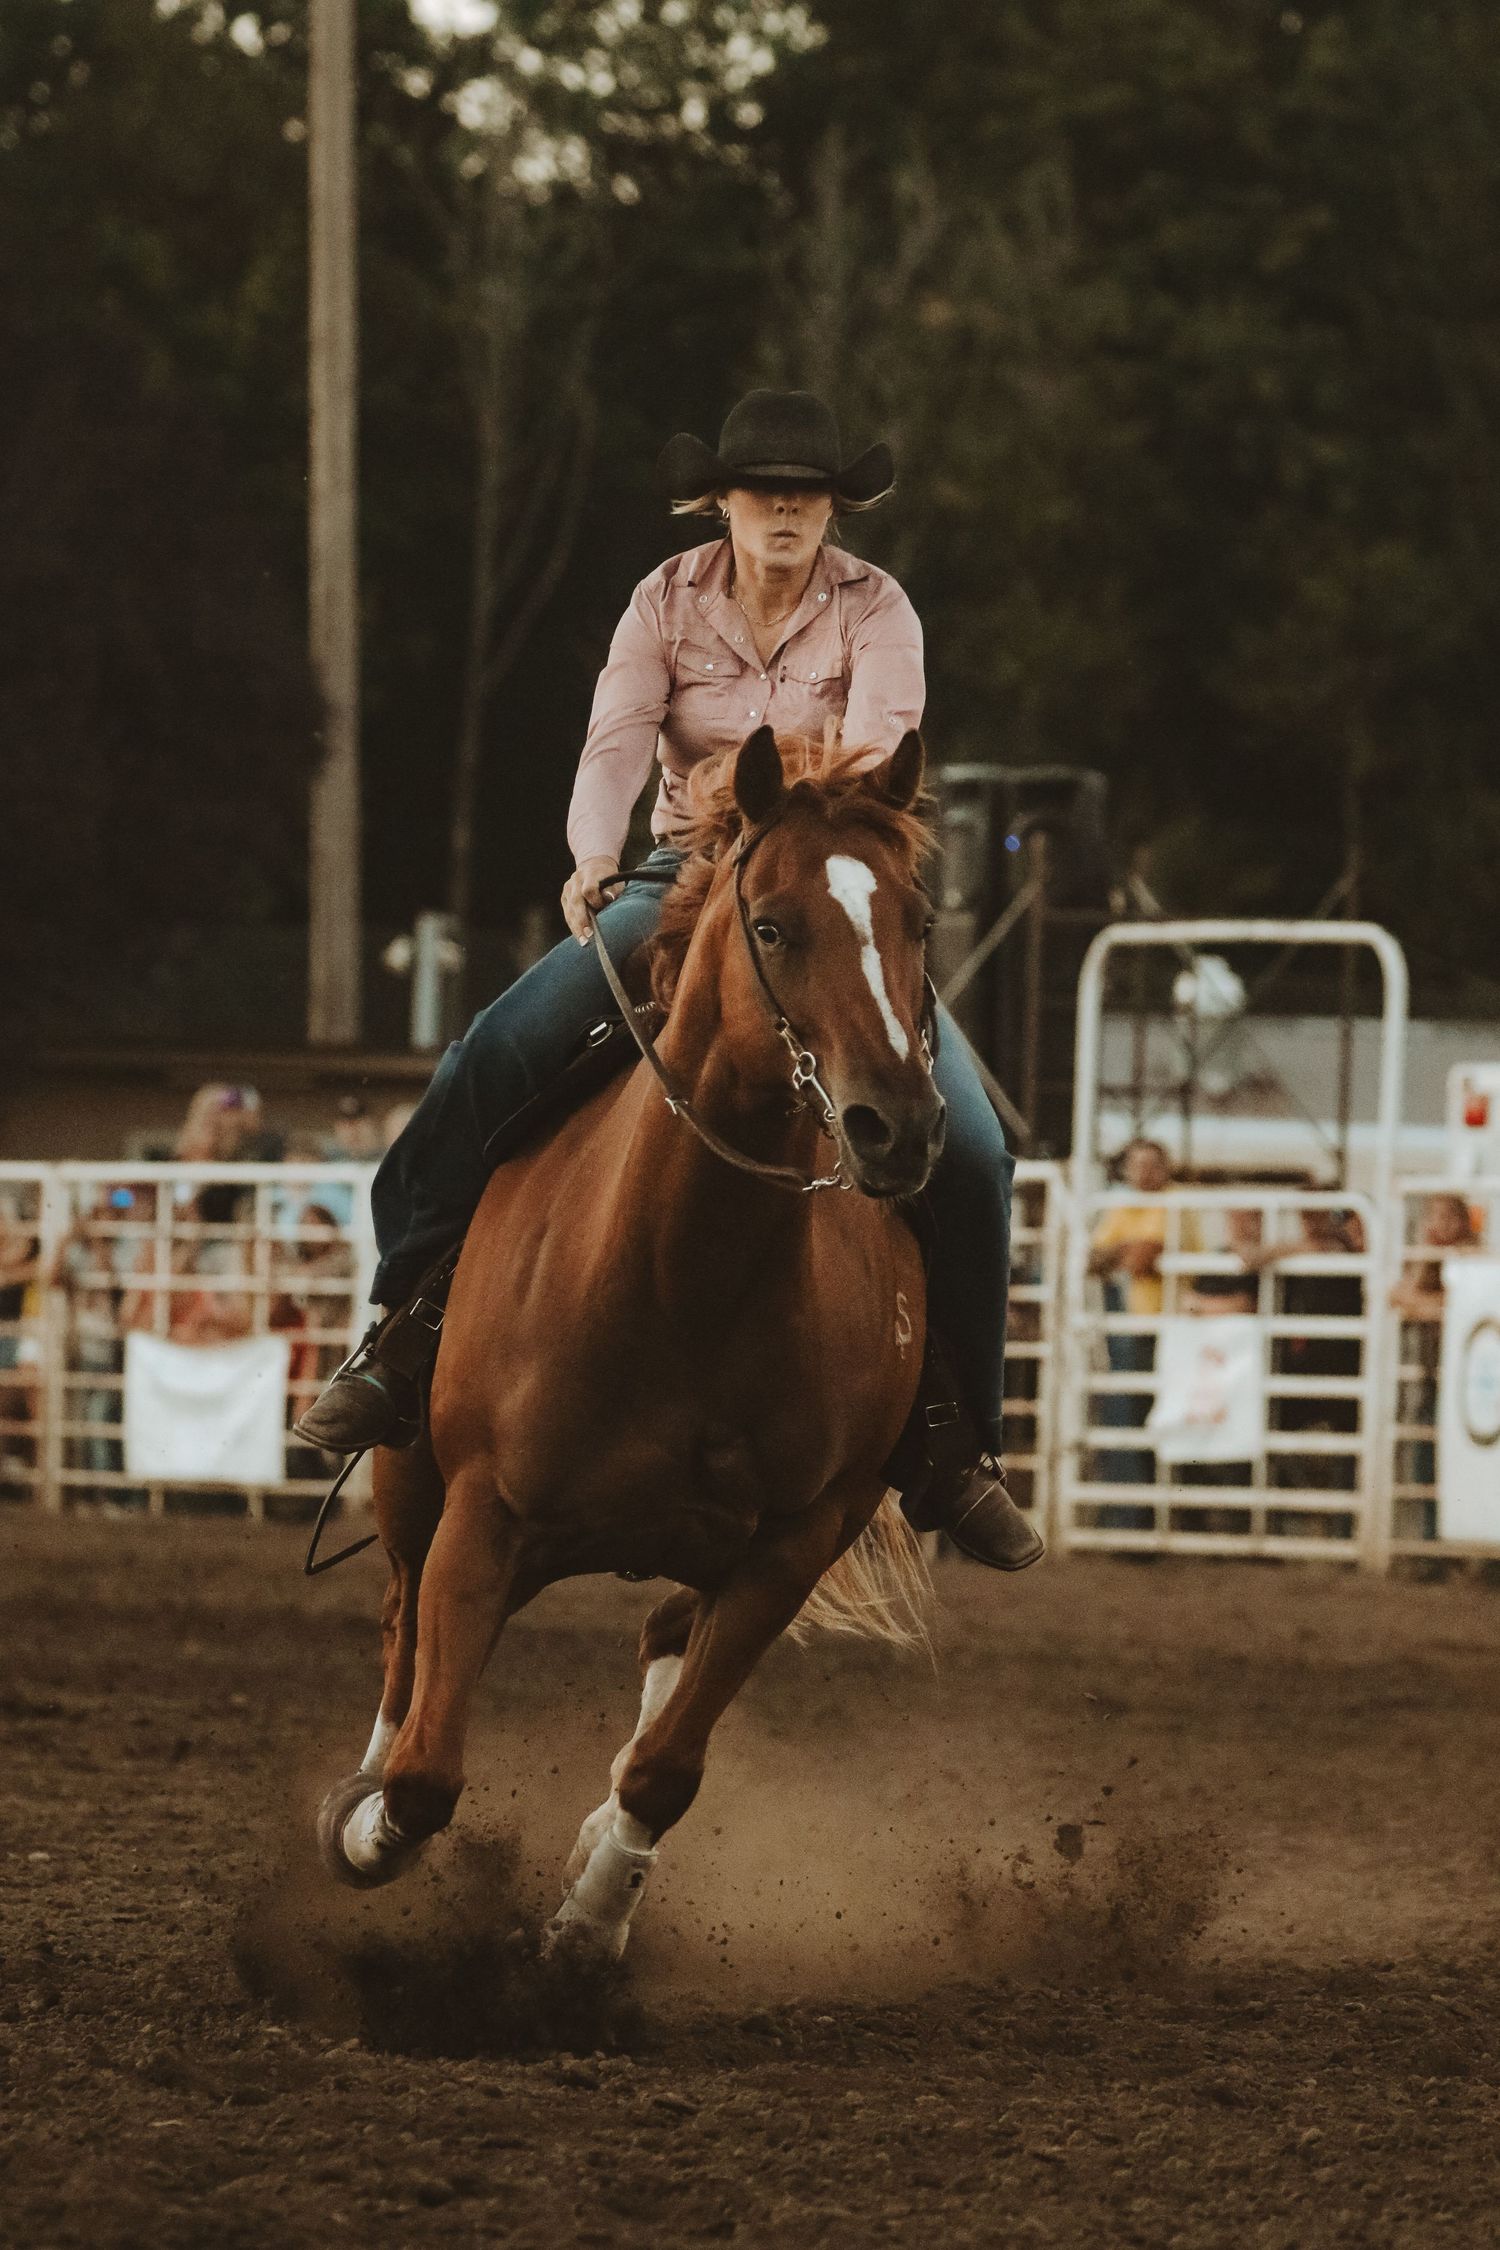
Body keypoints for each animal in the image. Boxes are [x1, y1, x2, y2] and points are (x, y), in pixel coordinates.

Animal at [315, 723, 946, 1962]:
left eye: (917, 923)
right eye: (772, 925)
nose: (896, 1125)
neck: (681, 1283)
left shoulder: (792, 1545)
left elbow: (666, 1771)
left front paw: (588, 1921)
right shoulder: (484, 1516)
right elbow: (424, 1775)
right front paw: (362, 1830)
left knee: (661, 1636)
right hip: (411, 1481)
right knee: (403, 1637)